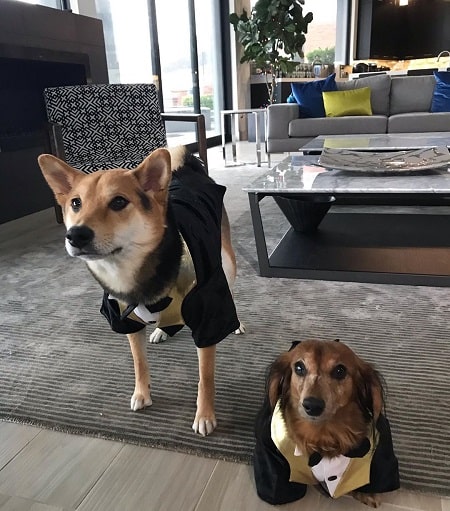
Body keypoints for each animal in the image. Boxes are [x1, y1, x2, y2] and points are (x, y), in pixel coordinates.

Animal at [38, 147, 243, 436]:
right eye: (76, 203)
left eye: (118, 202)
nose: (75, 235)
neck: (133, 275)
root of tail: (186, 170)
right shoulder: (125, 319)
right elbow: (139, 363)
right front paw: (142, 394)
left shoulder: (207, 318)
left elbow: (206, 378)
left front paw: (204, 416)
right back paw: (161, 330)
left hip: (225, 261)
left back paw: (237, 324)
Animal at [255, 340, 400, 508]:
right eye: (299, 368)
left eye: (340, 371)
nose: (312, 406)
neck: (323, 433)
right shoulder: (270, 452)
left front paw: (367, 493)